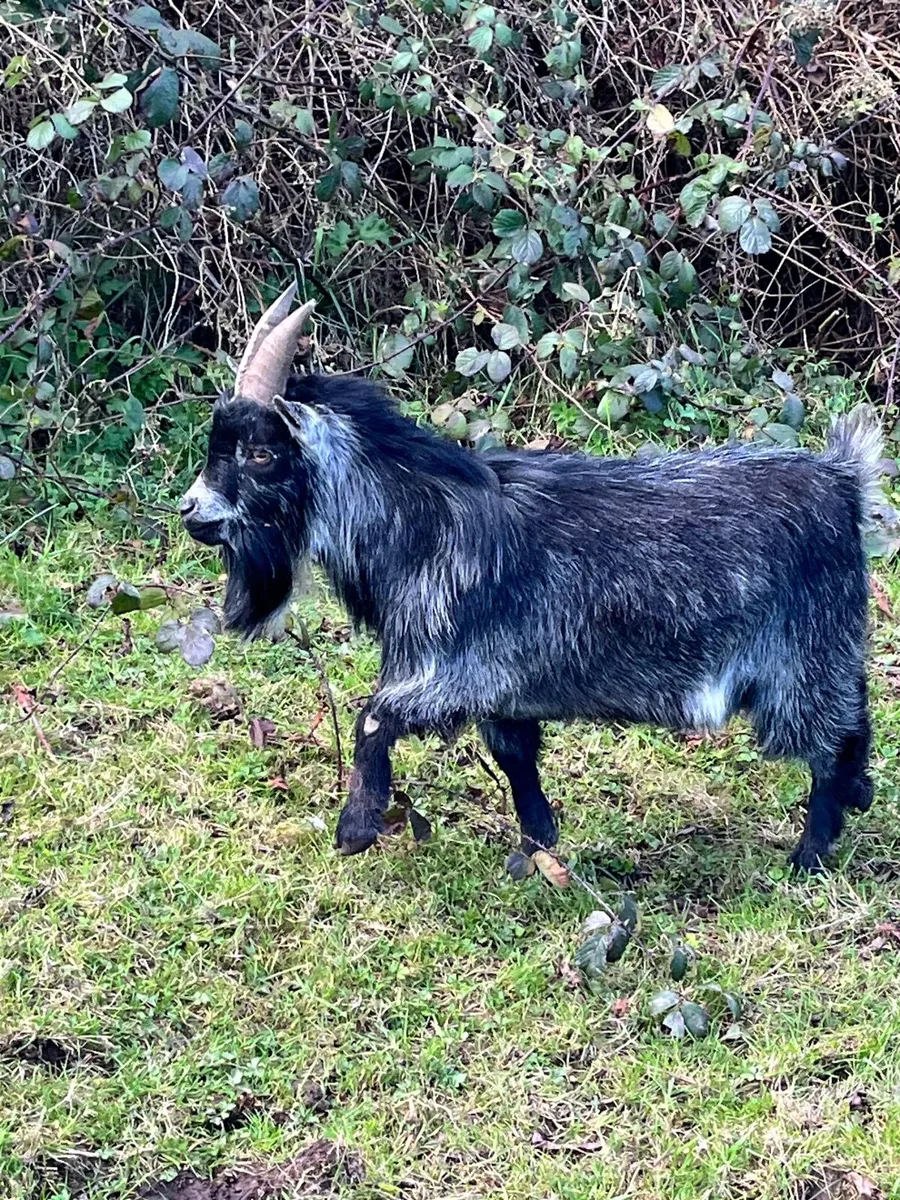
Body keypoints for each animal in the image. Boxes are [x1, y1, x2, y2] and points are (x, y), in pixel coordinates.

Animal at [181, 285, 881, 873]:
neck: (419, 522)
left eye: (260, 451)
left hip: (799, 659)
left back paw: (810, 855)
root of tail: (843, 480)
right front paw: (534, 852)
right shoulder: (501, 685)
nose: (191, 510)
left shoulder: (448, 669)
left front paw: (355, 829)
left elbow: (373, 718)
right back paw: (857, 800)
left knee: (833, 738)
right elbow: (515, 757)